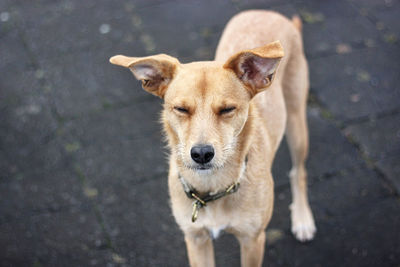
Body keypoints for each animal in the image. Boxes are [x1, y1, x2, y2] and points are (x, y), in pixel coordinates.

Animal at [109, 9, 316, 267]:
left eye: (227, 109)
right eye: (181, 109)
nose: (201, 154)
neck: (213, 187)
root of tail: (268, 12)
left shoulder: (253, 240)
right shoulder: (196, 239)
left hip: (297, 123)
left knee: (299, 171)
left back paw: (303, 218)